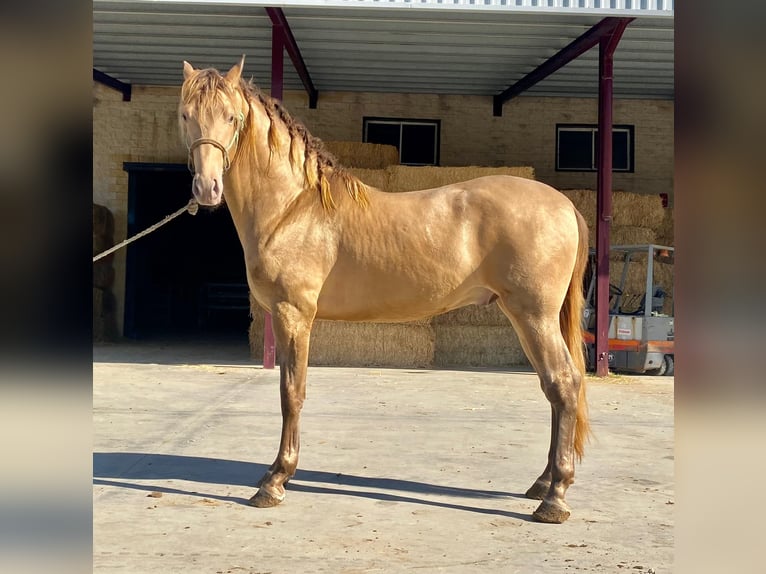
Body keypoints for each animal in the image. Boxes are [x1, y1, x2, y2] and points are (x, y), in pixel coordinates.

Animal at [180, 58, 592, 528]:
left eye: (231, 118)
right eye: (186, 115)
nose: (206, 189)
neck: (293, 209)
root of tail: (564, 204)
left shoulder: (293, 314)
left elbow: (291, 392)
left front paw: (276, 480)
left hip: (534, 315)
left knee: (564, 384)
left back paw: (554, 497)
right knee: (553, 388)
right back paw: (542, 483)